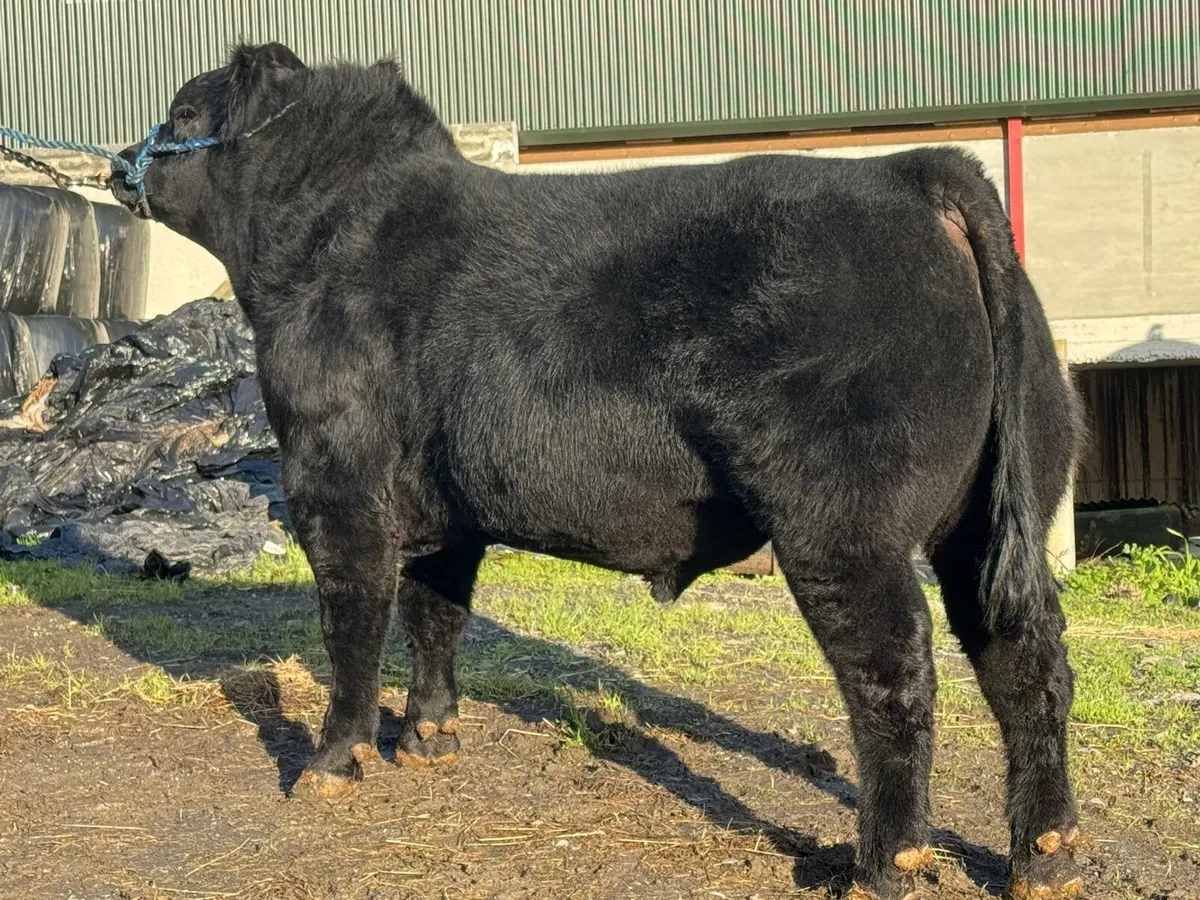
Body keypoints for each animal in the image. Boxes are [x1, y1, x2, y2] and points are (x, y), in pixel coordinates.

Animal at [111, 43, 1085, 900]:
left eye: (185, 112)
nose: (121, 160)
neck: (322, 244)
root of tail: (908, 172)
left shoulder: (334, 483)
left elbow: (351, 625)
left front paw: (331, 761)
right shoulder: (443, 509)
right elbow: (435, 613)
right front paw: (428, 736)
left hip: (841, 528)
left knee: (896, 673)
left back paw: (882, 865)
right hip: (995, 519)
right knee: (1024, 661)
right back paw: (1045, 858)